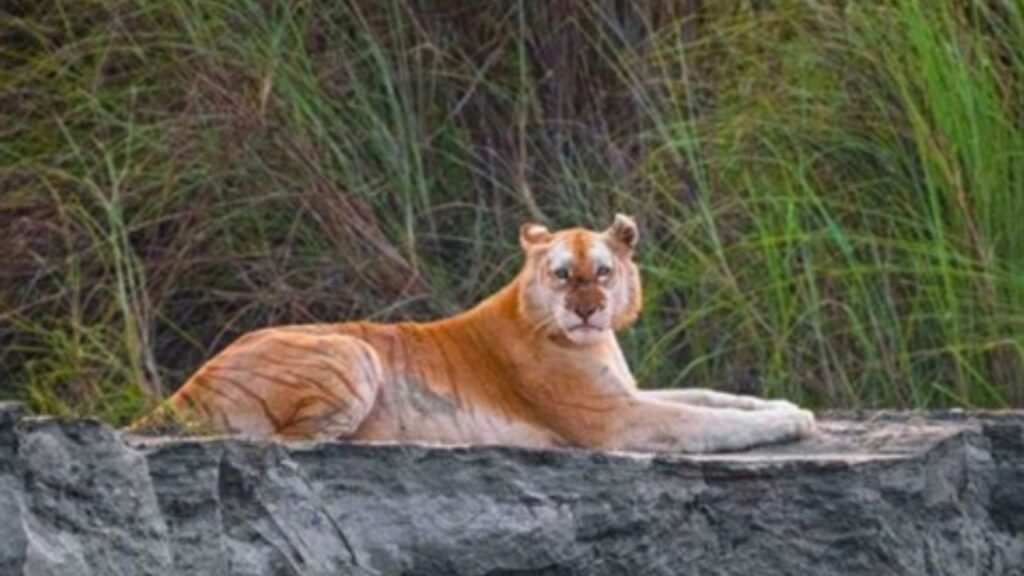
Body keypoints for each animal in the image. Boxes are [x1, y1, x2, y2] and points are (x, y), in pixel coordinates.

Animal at [132, 213, 815, 450]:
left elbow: (714, 397)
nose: (588, 310)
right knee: (291, 442)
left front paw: (790, 406)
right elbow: (709, 421)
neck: (592, 341)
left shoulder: (629, 392)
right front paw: (789, 422)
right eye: (563, 276)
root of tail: (186, 386)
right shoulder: (617, 420)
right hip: (354, 351)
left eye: (603, 271)